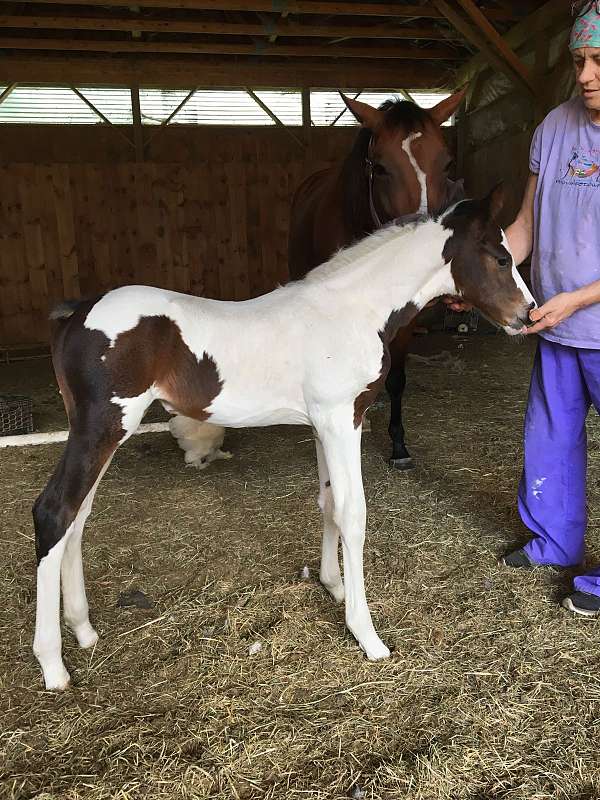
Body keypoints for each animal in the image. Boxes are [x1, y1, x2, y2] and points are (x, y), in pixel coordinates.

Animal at [32, 186, 536, 688]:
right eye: (498, 257)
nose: (527, 316)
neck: (352, 311)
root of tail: (74, 313)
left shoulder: (323, 425)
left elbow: (328, 502)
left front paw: (333, 586)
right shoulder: (341, 419)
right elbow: (353, 513)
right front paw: (367, 634)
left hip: (102, 433)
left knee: (78, 517)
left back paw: (84, 630)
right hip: (103, 427)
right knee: (54, 512)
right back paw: (54, 665)